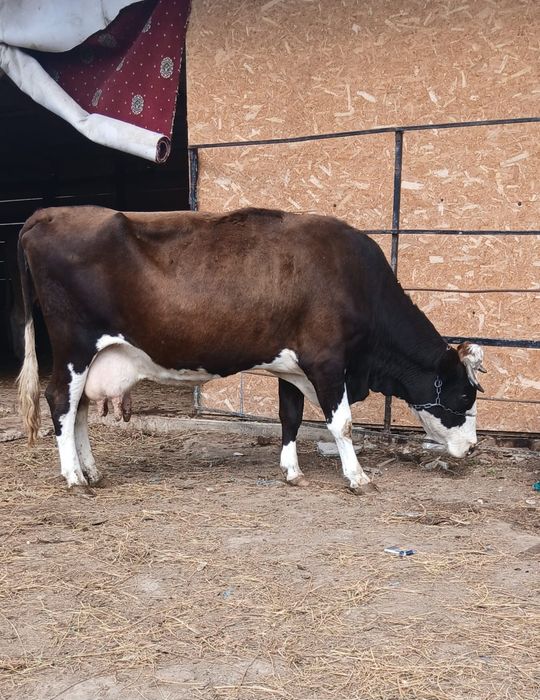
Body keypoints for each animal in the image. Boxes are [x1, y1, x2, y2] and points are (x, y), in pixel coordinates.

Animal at [17, 206, 486, 493]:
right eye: (464, 395)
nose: (474, 448)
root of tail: (48, 214)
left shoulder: (292, 367)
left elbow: (290, 417)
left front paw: (292, 471)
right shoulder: (327, 362)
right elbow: (343, 424)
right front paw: (357, 477)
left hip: (89, 356)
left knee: (77, 409)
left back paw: (92, 470)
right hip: (74, 346)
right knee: (60, 401)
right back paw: (74, 477)